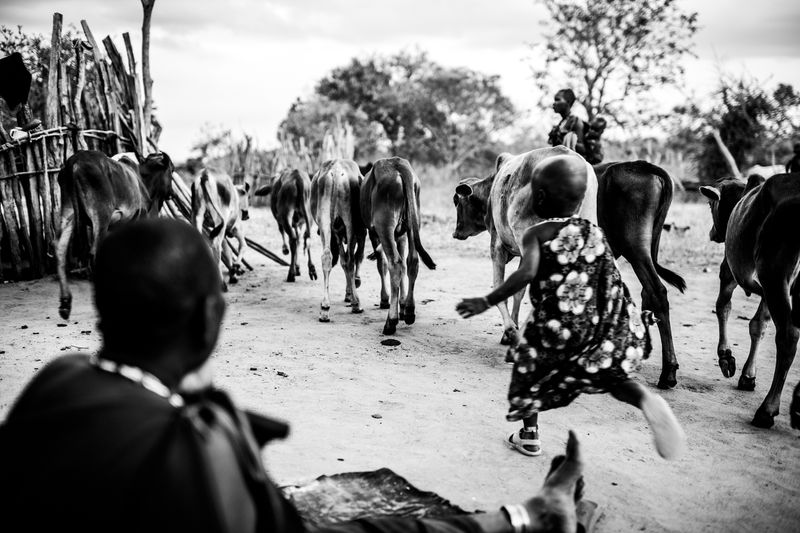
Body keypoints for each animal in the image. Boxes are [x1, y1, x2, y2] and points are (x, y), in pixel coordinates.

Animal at [55, 149, 174, 319]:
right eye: (172, 170)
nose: (172, 193)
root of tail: (74, 162)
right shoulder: (139, 216)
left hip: (68, 212)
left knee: (60, 250)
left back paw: (65, 304)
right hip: (101, 214)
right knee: (94, 254)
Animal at [310, 159, 367, 322]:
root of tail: (335, 169)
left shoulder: (336, 234)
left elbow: (342, 261)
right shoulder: (361, 232)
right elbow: (357, 257)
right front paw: (353, 287)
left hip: (325, 222)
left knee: (327, 257)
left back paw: (325, 308)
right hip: (350, 223)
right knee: (351, 260)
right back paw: (356, 304)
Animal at [360, 157, 436, 335]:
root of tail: (399, 164)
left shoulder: (373, 233)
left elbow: (382, 264)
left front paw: (385, 299)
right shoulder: (400, 235)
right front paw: (402, 304)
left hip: (384, 225)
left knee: (395, 264)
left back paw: (391, 322)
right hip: (413, 225)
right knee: (411, 262)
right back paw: (409, 311)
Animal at [700, 172, 800, 428]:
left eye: (711, 204)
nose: (712, 233)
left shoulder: (730, 270)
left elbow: (723, 307)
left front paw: (726, 357)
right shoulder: (767, 291)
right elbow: (758, 326)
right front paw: (748, 375)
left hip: (774, 274)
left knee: (788, 336)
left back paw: (767, 409)